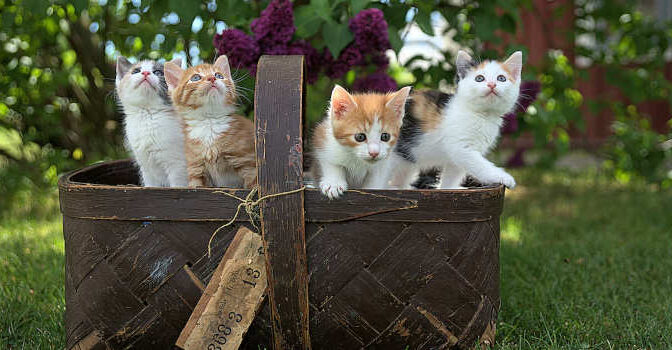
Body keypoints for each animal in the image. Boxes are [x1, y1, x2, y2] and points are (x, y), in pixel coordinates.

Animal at [115, 56, 188, 187]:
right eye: (136, 71)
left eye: (158, 72)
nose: (145, 73)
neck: (147, 115)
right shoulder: (147, 168)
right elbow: (151, 186)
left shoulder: (178, 165)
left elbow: (178, 185)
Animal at [164, 55, 256, 189]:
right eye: (195, 77)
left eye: (219, 75)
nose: (212, 78)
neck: (209, 122)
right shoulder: (196, 169)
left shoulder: (248, 162)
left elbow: (254, 186)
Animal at [392, 50, 524, 189]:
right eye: (479, 78)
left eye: (501, 78)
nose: (492, 85)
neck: (482, 115)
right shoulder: (461, 148)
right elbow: (481, 166)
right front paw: (504, 177)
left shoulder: (456, 158)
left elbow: (452, 176)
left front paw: (447, 189)